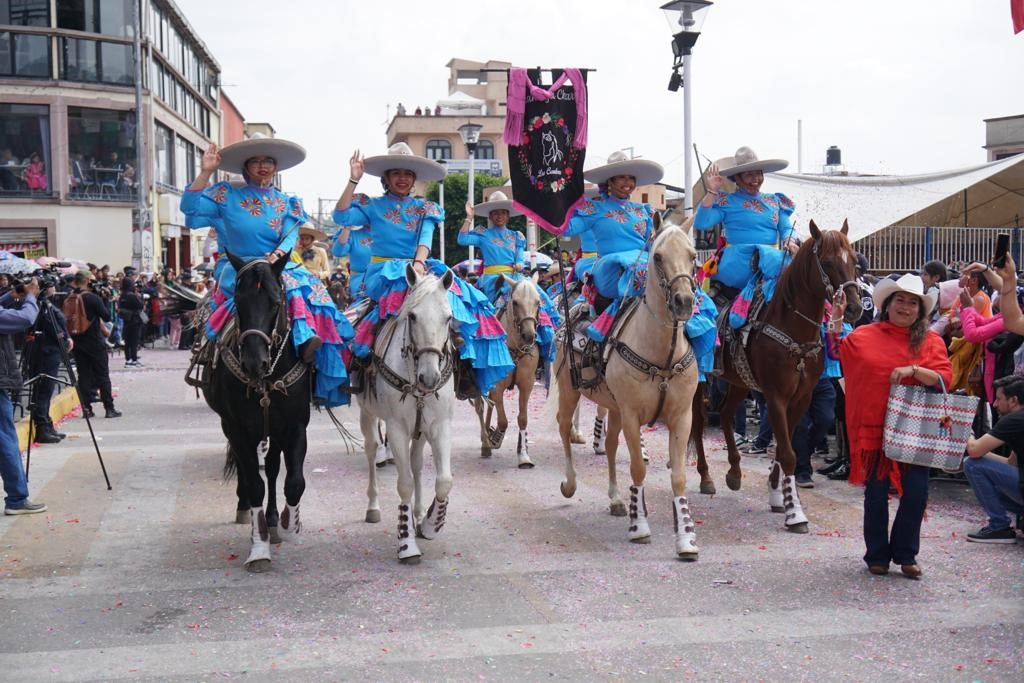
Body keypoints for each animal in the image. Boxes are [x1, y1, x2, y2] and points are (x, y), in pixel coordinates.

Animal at [202, 254, 311, 572]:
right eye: (238, 301)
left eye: (275, 303)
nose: (254, 362)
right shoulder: (236, 427)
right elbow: (254, 484)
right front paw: (259, 548)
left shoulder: (295, 425)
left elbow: (293, 482)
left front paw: (288, 523)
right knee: (247, 469)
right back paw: (245, 509)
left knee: (273, 467)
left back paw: (274, 520)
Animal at [358, 265, 457, 564]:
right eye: (412, 316)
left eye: (448, 317)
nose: (430, 377)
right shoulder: (397, 429)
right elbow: (403, 484)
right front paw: (406, 541)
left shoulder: (439, 426)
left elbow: (443, 481)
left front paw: (430, 523)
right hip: (367, 414)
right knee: (371, 450)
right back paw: (373, 506)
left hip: (421, 430)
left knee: (416, 464)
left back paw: (419, 512)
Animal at [551, 211, 702, 559]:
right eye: (657, 257)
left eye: (692, 256)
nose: (684, 301)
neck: (661, 354)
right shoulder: (633, 416)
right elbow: (637, 469)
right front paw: (640, 526)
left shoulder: (681, 417)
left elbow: (678, 477)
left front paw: (686, 539)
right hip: (569, 391)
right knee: (565, 429)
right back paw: (570, 483)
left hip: (613, 406)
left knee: (608, 446)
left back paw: (617, 499)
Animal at [689, 220, 863, 533]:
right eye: (828, 262)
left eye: (854, 260)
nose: (854, 308)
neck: (792, 329)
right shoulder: (776, 397)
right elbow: (789, 453)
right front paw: (795, 514)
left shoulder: (801, 398)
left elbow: (786, 448)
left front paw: (778, 495)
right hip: (698, 381)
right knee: (697, 423)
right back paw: (706, 476)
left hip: (738, 381)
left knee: (725, 415)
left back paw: (734, 472)